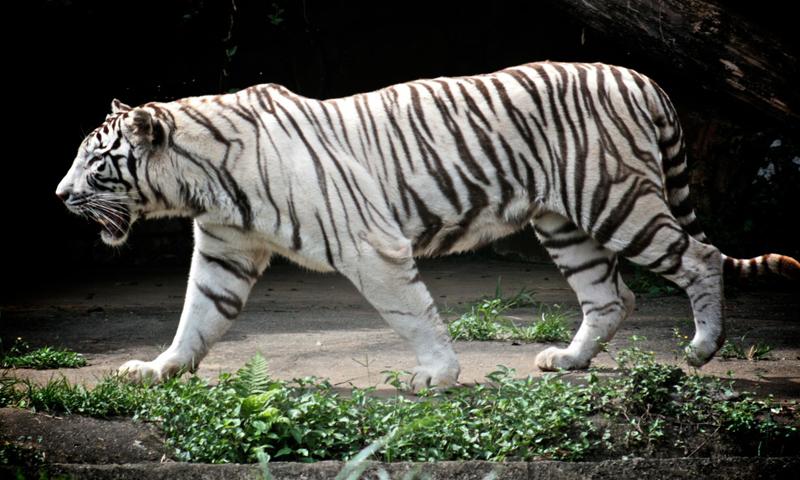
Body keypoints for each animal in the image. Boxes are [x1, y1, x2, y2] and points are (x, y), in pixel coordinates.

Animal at [56, 61, 799, 391]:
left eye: (96, 163)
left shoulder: (371, 246)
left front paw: (436, 375)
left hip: (618, 202)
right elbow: (197, 316)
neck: (201, 180)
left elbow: (412, 312)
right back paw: (567, 360)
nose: (59, 195)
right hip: (565, 224)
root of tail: (641, 77)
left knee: (699, 257)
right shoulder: (225, 251)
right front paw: (159, 368)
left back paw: (701, 350)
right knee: (613, 296)